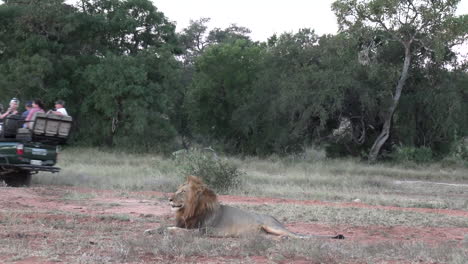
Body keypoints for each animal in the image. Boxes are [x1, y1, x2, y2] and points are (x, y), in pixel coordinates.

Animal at [145, 175, 344, 239]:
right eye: (176, 190)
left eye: (182, 192)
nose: (169, 199)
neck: (188, 211)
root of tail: (274, 218)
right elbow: (162, 226)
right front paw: (149, 230)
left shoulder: (203, 231)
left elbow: (175, 230)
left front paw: (167, 231)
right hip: (265, 232)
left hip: (272, 226)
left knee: (300, 236)